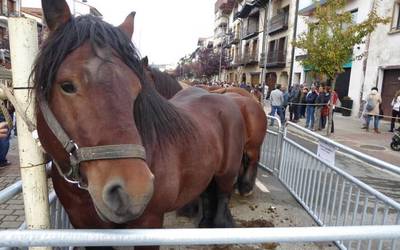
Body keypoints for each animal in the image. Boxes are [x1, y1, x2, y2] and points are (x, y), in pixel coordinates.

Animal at [34, 0, 245, 249]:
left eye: (136, 88)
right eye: (67, 86)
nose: (133, 192)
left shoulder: (149, 223)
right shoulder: (86, 227)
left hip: (227, 174)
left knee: (222, 197)